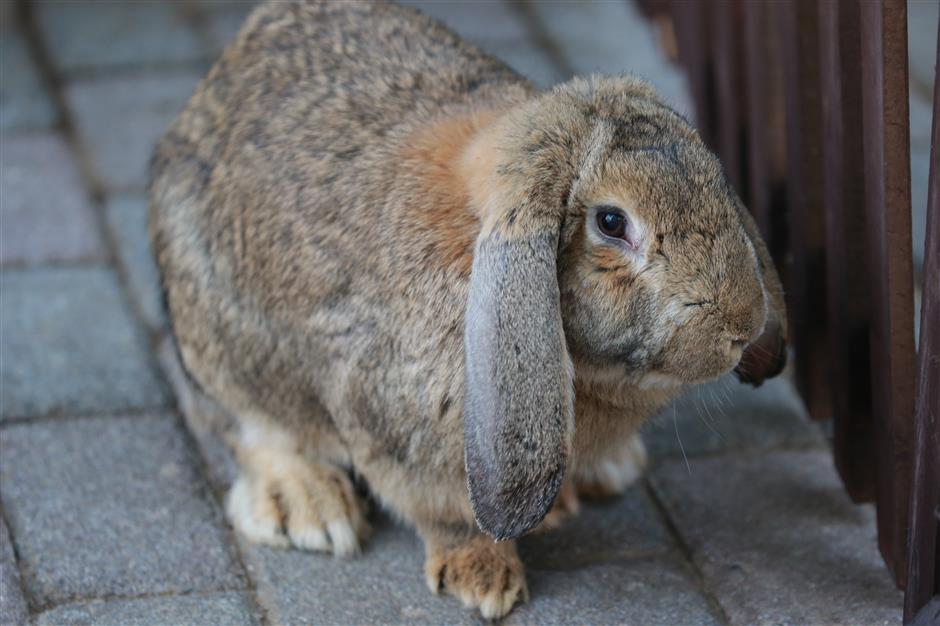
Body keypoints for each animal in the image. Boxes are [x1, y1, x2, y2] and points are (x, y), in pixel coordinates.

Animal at [149, 0, 787, 618]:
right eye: (611, 222)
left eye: (717, 178)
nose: (742, 325)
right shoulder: (394, 425)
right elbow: (446, 513)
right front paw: (484, 581)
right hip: (220, 342)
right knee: (245, 425)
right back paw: (310, 508)